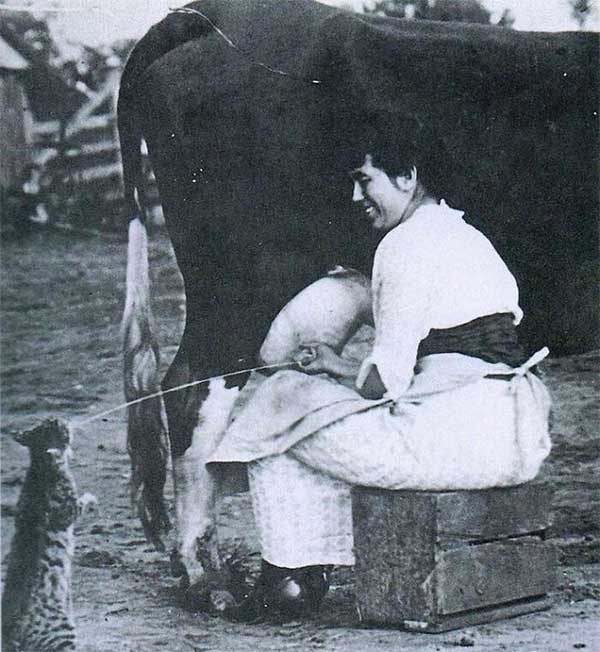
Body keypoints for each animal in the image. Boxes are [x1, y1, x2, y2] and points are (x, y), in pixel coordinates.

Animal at [1, 418, 79, 652]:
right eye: (56, 425)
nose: (65, 420)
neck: (38, 465)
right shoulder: (68, 510)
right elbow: (80, 503)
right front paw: (91, 499)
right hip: (65, 632)